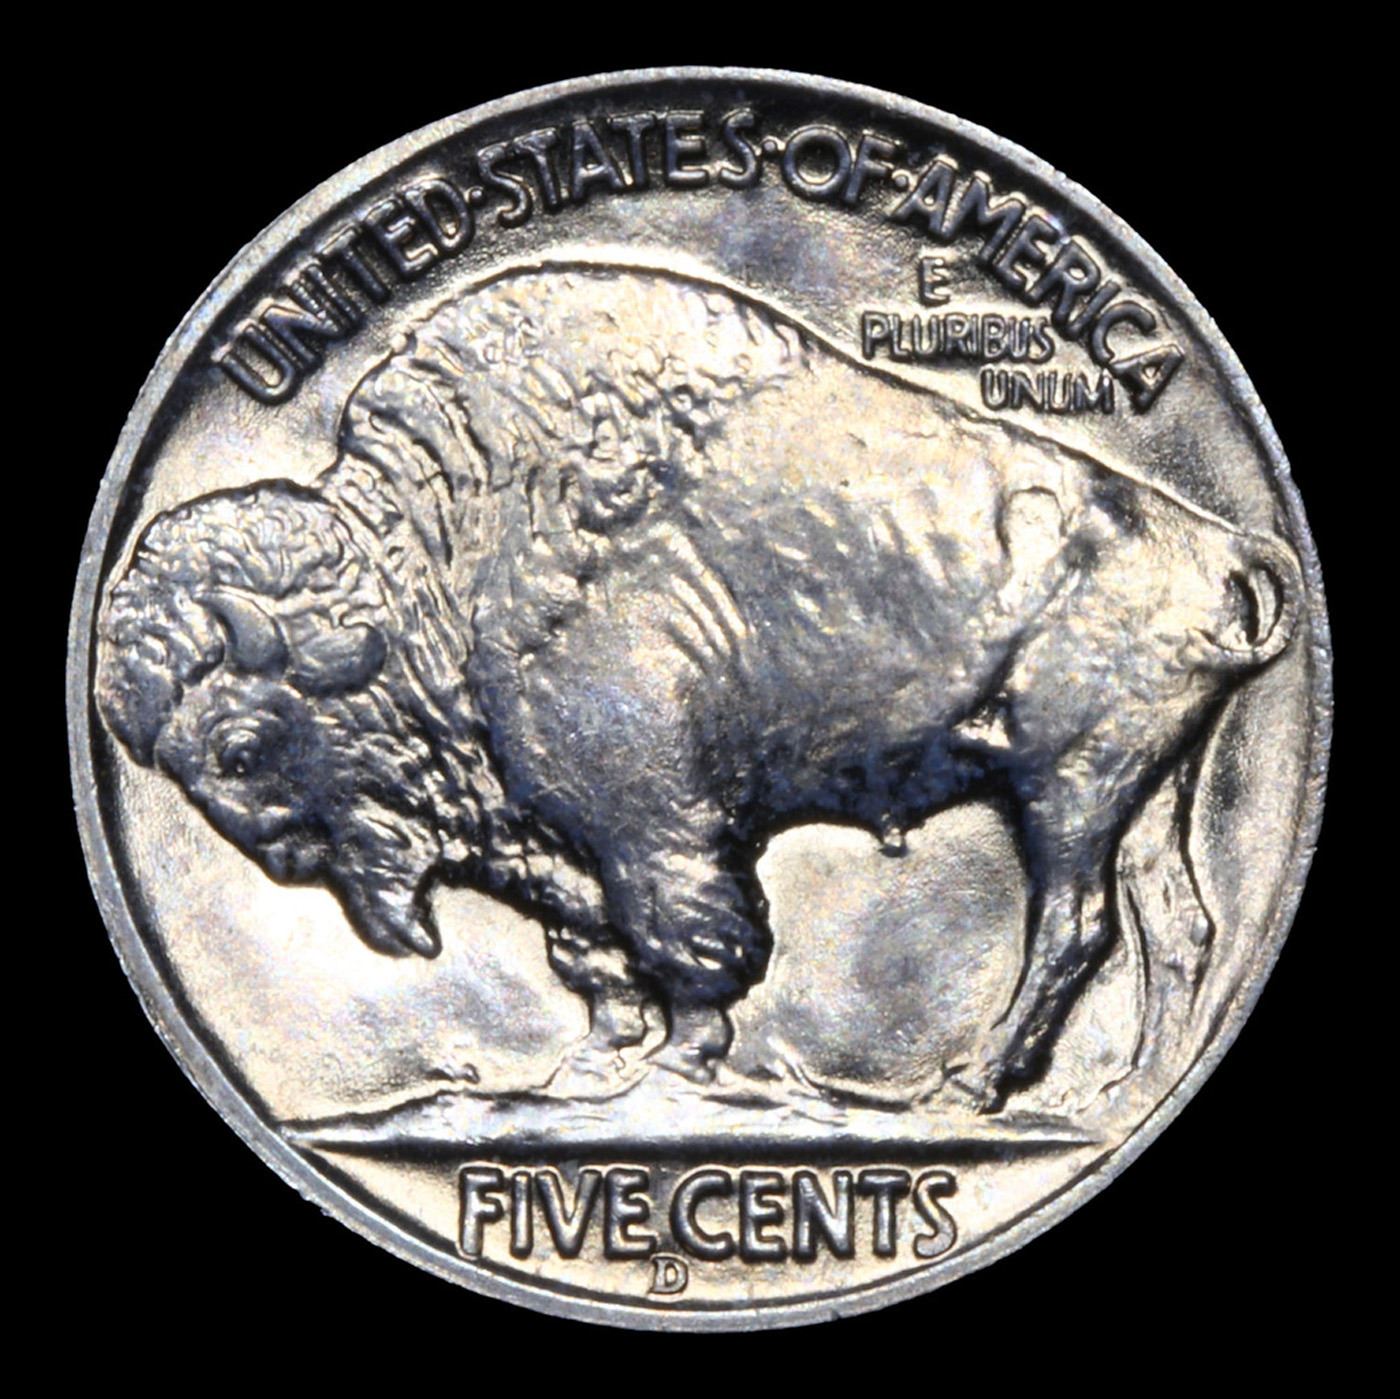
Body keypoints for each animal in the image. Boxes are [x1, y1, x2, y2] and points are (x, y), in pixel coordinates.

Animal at [95, 262, 1300, 1110]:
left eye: (241, 746)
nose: (282, 854)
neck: (446, 557)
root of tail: (1218, 548)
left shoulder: (649, 815)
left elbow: (688, 929)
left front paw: (682, 1062)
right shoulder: (559, 834)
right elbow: (592, 947)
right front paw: (590, 1066)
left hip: (1070, 785)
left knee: (1075, 922)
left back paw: (971, 1083)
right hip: (1144, 792)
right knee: (1178, 926)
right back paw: (1121, 1089)